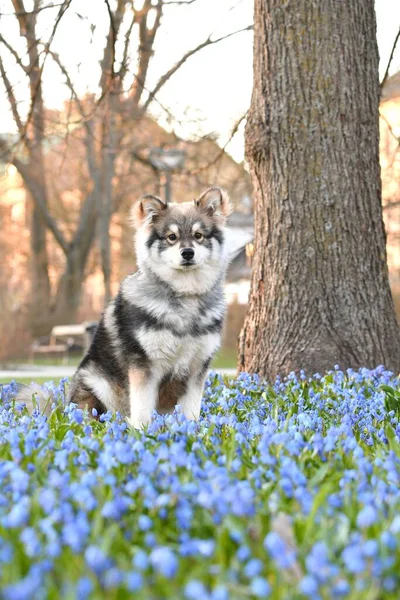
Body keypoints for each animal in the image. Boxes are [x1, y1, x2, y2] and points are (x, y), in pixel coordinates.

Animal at [17, 188, 233, 426]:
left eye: (198, 235)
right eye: (171, 237)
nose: (187, 253)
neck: (183, 297)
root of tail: (62, 408)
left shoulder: (196, 369)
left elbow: (191, 412)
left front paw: (191, 430)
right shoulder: (143, 366)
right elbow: (142, 410)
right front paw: (142, 431)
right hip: (98, 383)